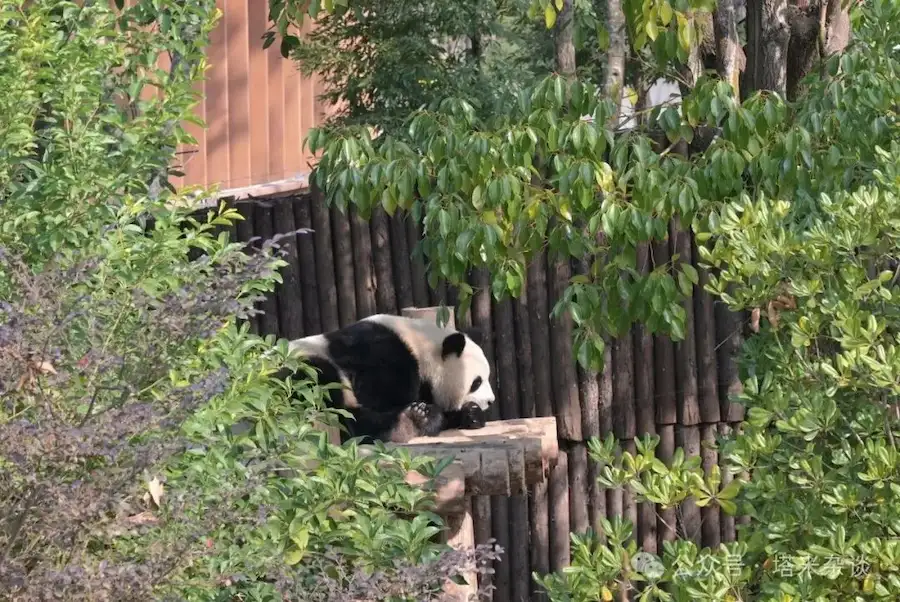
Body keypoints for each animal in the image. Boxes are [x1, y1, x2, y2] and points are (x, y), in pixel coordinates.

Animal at [281, 313, 495, 444]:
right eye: (476, 382)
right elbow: (380, 396)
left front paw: (472, 414)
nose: (490, 401)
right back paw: (411, 422)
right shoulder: (382, 354)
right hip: (300, 366)